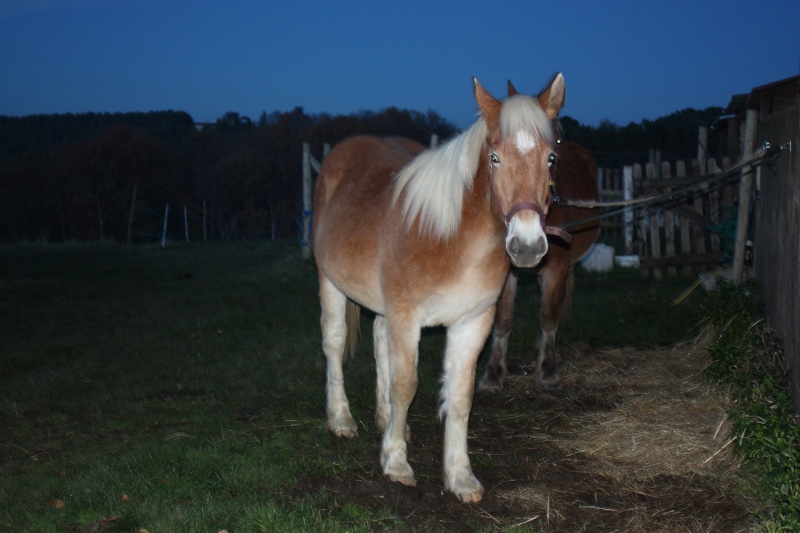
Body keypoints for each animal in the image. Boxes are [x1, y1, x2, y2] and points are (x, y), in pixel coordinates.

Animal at [312, 72, 568, 500]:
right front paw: (396, 462)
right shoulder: (406, 317)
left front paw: (460, 475)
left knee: (378, 339)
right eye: (495, 157)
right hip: (330, 282)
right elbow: (405, 385)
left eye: (551, 158)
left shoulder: (473, 322)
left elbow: (460, 397)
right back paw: (341, 418)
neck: (453, 241)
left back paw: (387, 420)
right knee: (334, 343)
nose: (528, 246)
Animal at [476, 97, 600, 392]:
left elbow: (548, 315)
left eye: (550, 158)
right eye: (494, 158)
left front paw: (548, 369)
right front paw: (493, 374)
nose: (527, 247)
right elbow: (503, 321)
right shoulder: (508, 272)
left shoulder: (557, 267)